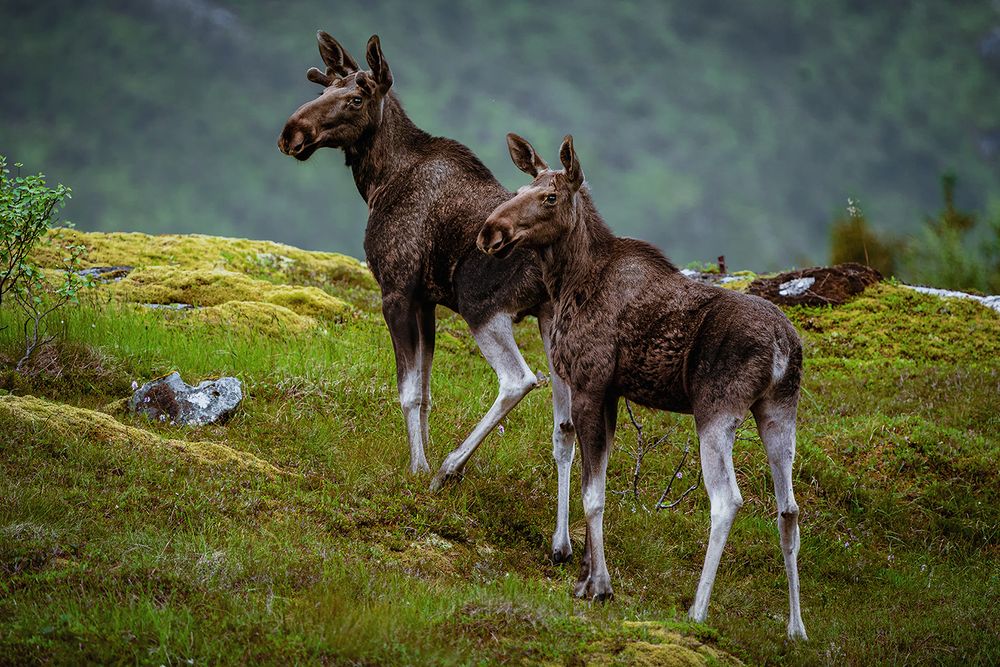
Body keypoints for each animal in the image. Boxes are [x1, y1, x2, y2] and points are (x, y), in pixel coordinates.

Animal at [278, 31, 580, 564]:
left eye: (355, 99)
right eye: (323, 89)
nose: (292, 133)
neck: (377, 181)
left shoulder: (397, 289)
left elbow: (409, 391)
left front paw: (419, 468)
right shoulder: (428, 301)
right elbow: (426, 394)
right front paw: (423, 457)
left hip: (485, 308)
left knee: (519, 380)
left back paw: (449, 469)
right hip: (549, 322)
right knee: (564, 427)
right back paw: (561, 543)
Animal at [478, 133, 812, 640]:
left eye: (550, 196)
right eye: (519, 189)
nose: (490, 232)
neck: (569, 281)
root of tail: (782, 346)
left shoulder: (591, 383)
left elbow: (593, 495)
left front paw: (599, 585)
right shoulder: (612, 393)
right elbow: (593, 482)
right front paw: (585, 578)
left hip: (716, 409)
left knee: (727, 500)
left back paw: (697, 610)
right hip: (778, 410)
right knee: (788, 509)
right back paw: (796, 628)